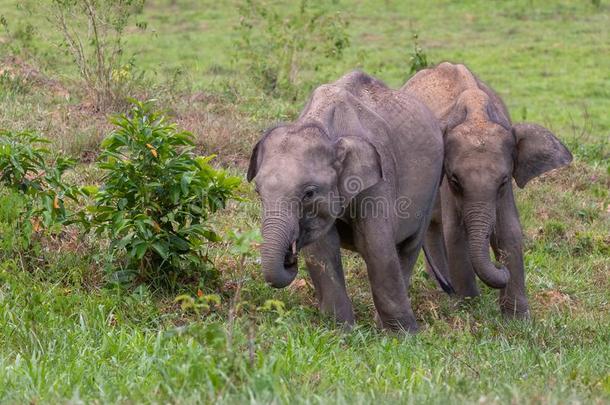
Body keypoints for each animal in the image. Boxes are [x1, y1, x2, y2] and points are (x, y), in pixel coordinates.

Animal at [247, 71, 442, 332]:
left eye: (309, 193)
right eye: (258, 191)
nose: (290, 256)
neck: (322, 125)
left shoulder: (379, 179)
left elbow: (377, 247)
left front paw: (406, 335)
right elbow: (322, 250)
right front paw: (341, 331)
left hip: (432, 186)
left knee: (409, 246)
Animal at [402, 62, 572, 316]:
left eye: (503, 181)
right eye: (455, 180)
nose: (500, 265)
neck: (477, 116)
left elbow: (509, 229)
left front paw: (517, 318)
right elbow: (455, 232)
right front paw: (469, 308)